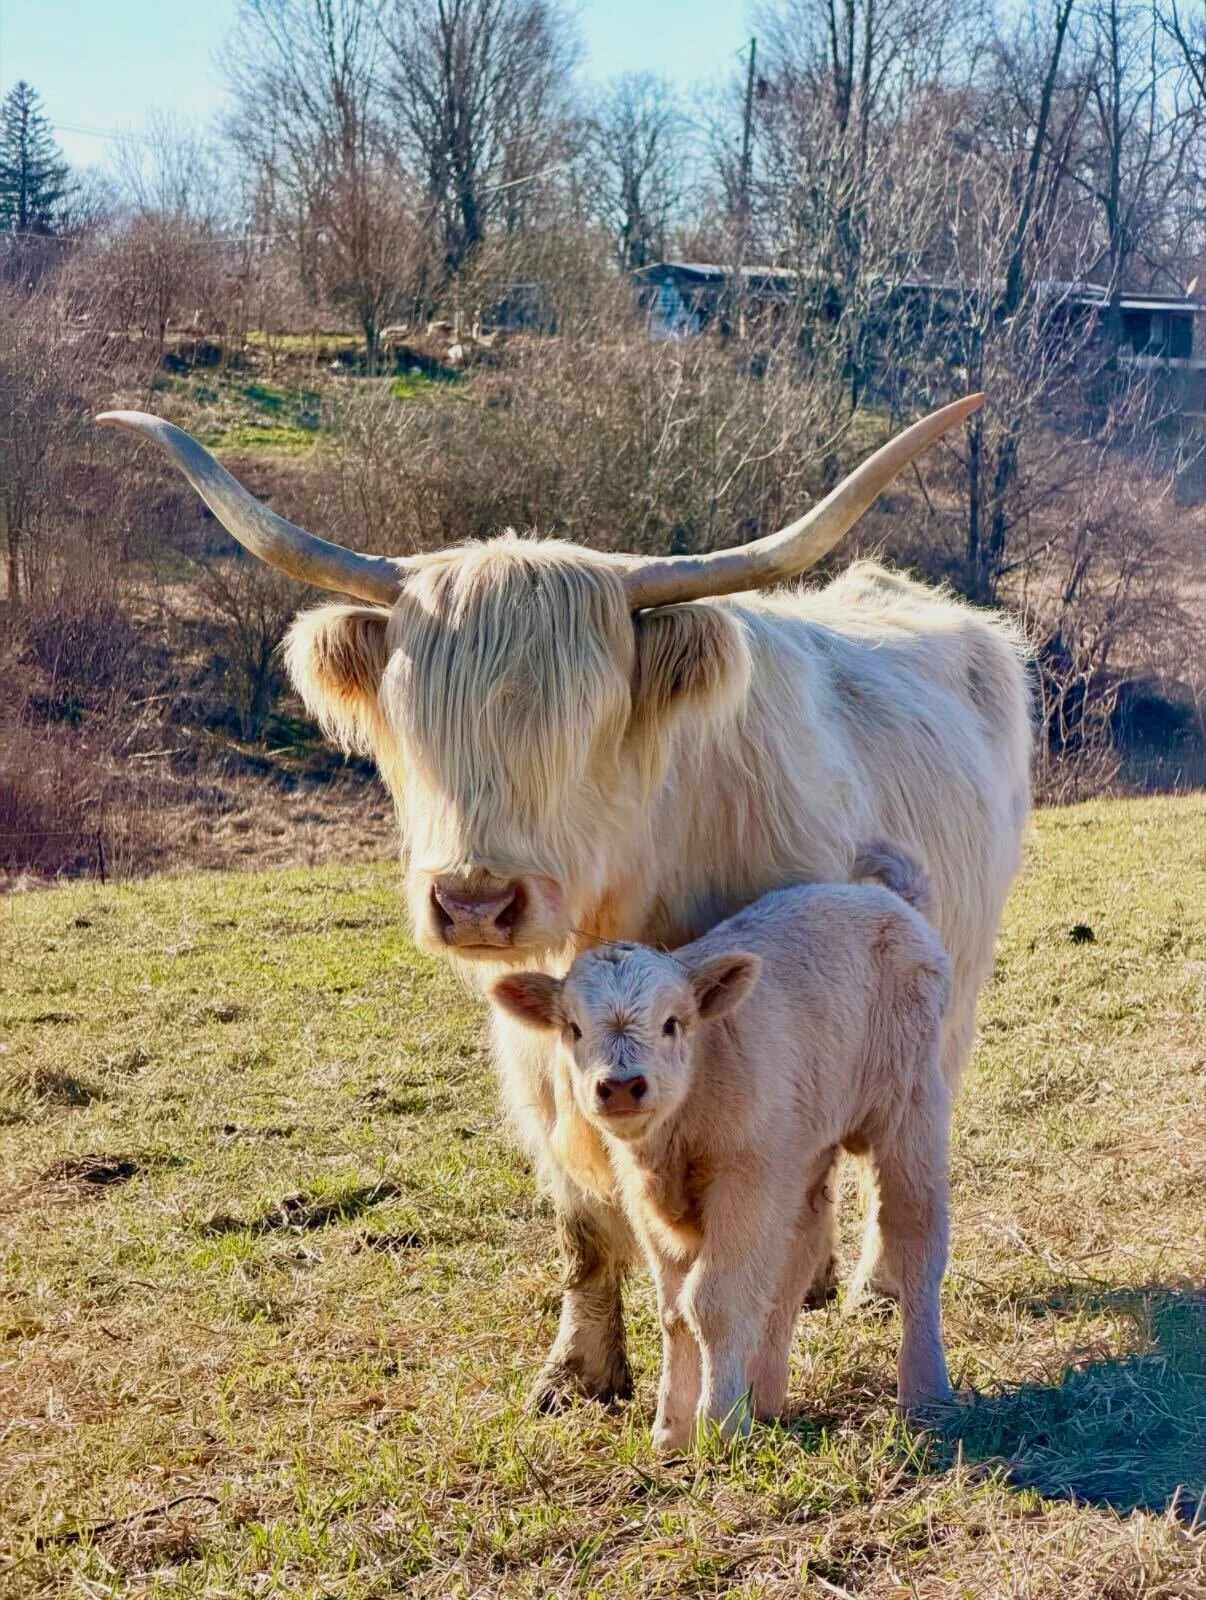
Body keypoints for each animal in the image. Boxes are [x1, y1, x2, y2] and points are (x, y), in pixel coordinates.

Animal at [491, 843, 953, 1446]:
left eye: (672, 1023)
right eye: (572, 1028)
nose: (621, 1085)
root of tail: (887, 901)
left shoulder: (744, 1181)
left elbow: (712, 1302)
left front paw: (719, 1426)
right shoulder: (650, 1199)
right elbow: (674, 1312)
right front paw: (672, 1430)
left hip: (910, 1107)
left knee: (916, 1234)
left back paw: (923, 1393)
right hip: (802, 1153)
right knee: (795, 1256)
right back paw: (768, 1399)